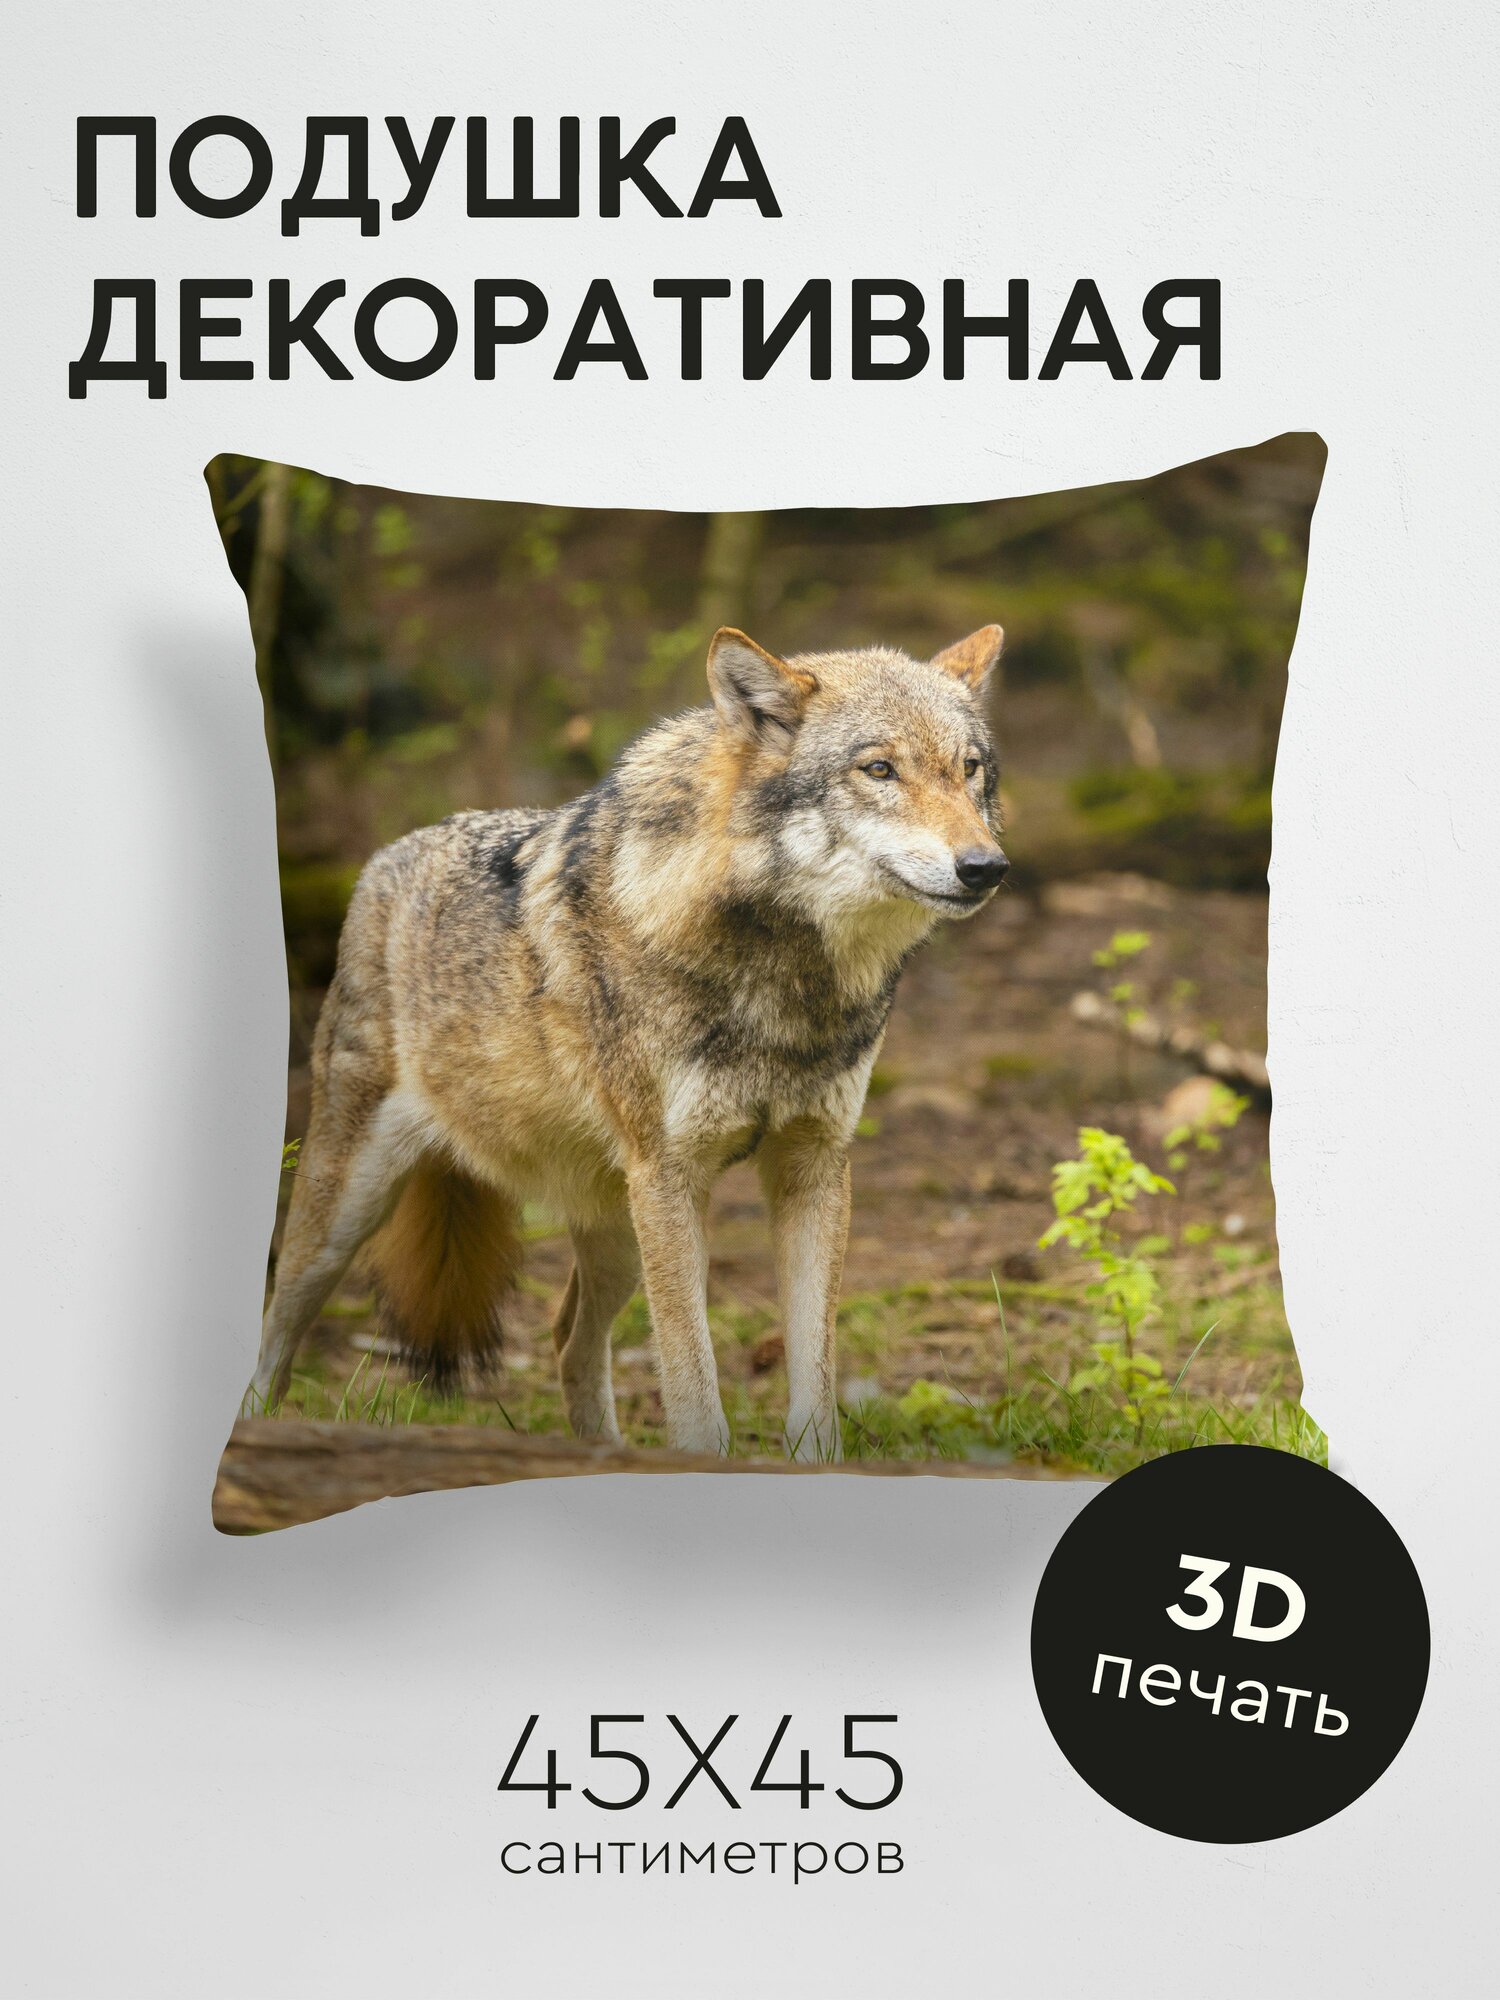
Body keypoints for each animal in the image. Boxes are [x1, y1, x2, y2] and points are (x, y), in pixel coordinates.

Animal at [246, 623, 1008, 1458]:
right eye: (879, 770)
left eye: (970, 769)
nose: (986, 867)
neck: (787, 982)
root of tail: (385, 859)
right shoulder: (671, 1176)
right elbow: (695, 1397)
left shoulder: (814, 1168)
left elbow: (814, 1393)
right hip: (344, 1216)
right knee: (271, 1341)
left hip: (616, 1230)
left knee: (566, 1338)